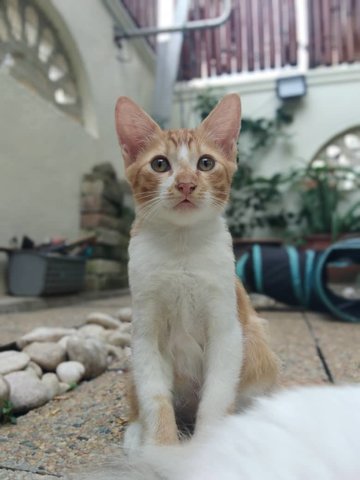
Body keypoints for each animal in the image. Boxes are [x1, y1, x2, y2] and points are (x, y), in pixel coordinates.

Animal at [114, 94, 278, 450]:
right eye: (160, 164)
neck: (182, 248)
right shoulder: (145, 333)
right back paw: (135, 434)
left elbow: (217, 395)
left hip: (259, 349)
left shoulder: (227, 329)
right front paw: (160, 449)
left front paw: (207, 448)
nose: (186, 184)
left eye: (205, 163)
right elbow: (154, 397)